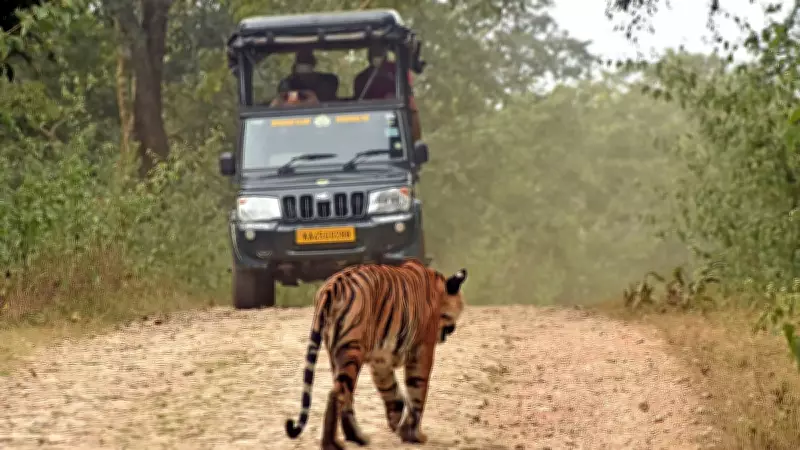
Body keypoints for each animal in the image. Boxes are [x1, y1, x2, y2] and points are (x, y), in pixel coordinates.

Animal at [284, 258, 468, 450]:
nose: (453, 329)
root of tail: (332, 285)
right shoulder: (422, 350)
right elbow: (417, 391)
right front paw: (414, 435)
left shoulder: (380, 360)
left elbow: (391, 390)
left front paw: (397, 424)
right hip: (352, 350)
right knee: (337, 393)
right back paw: (332, 444)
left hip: (336, 354)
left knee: (346, 396)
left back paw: (357, 438)